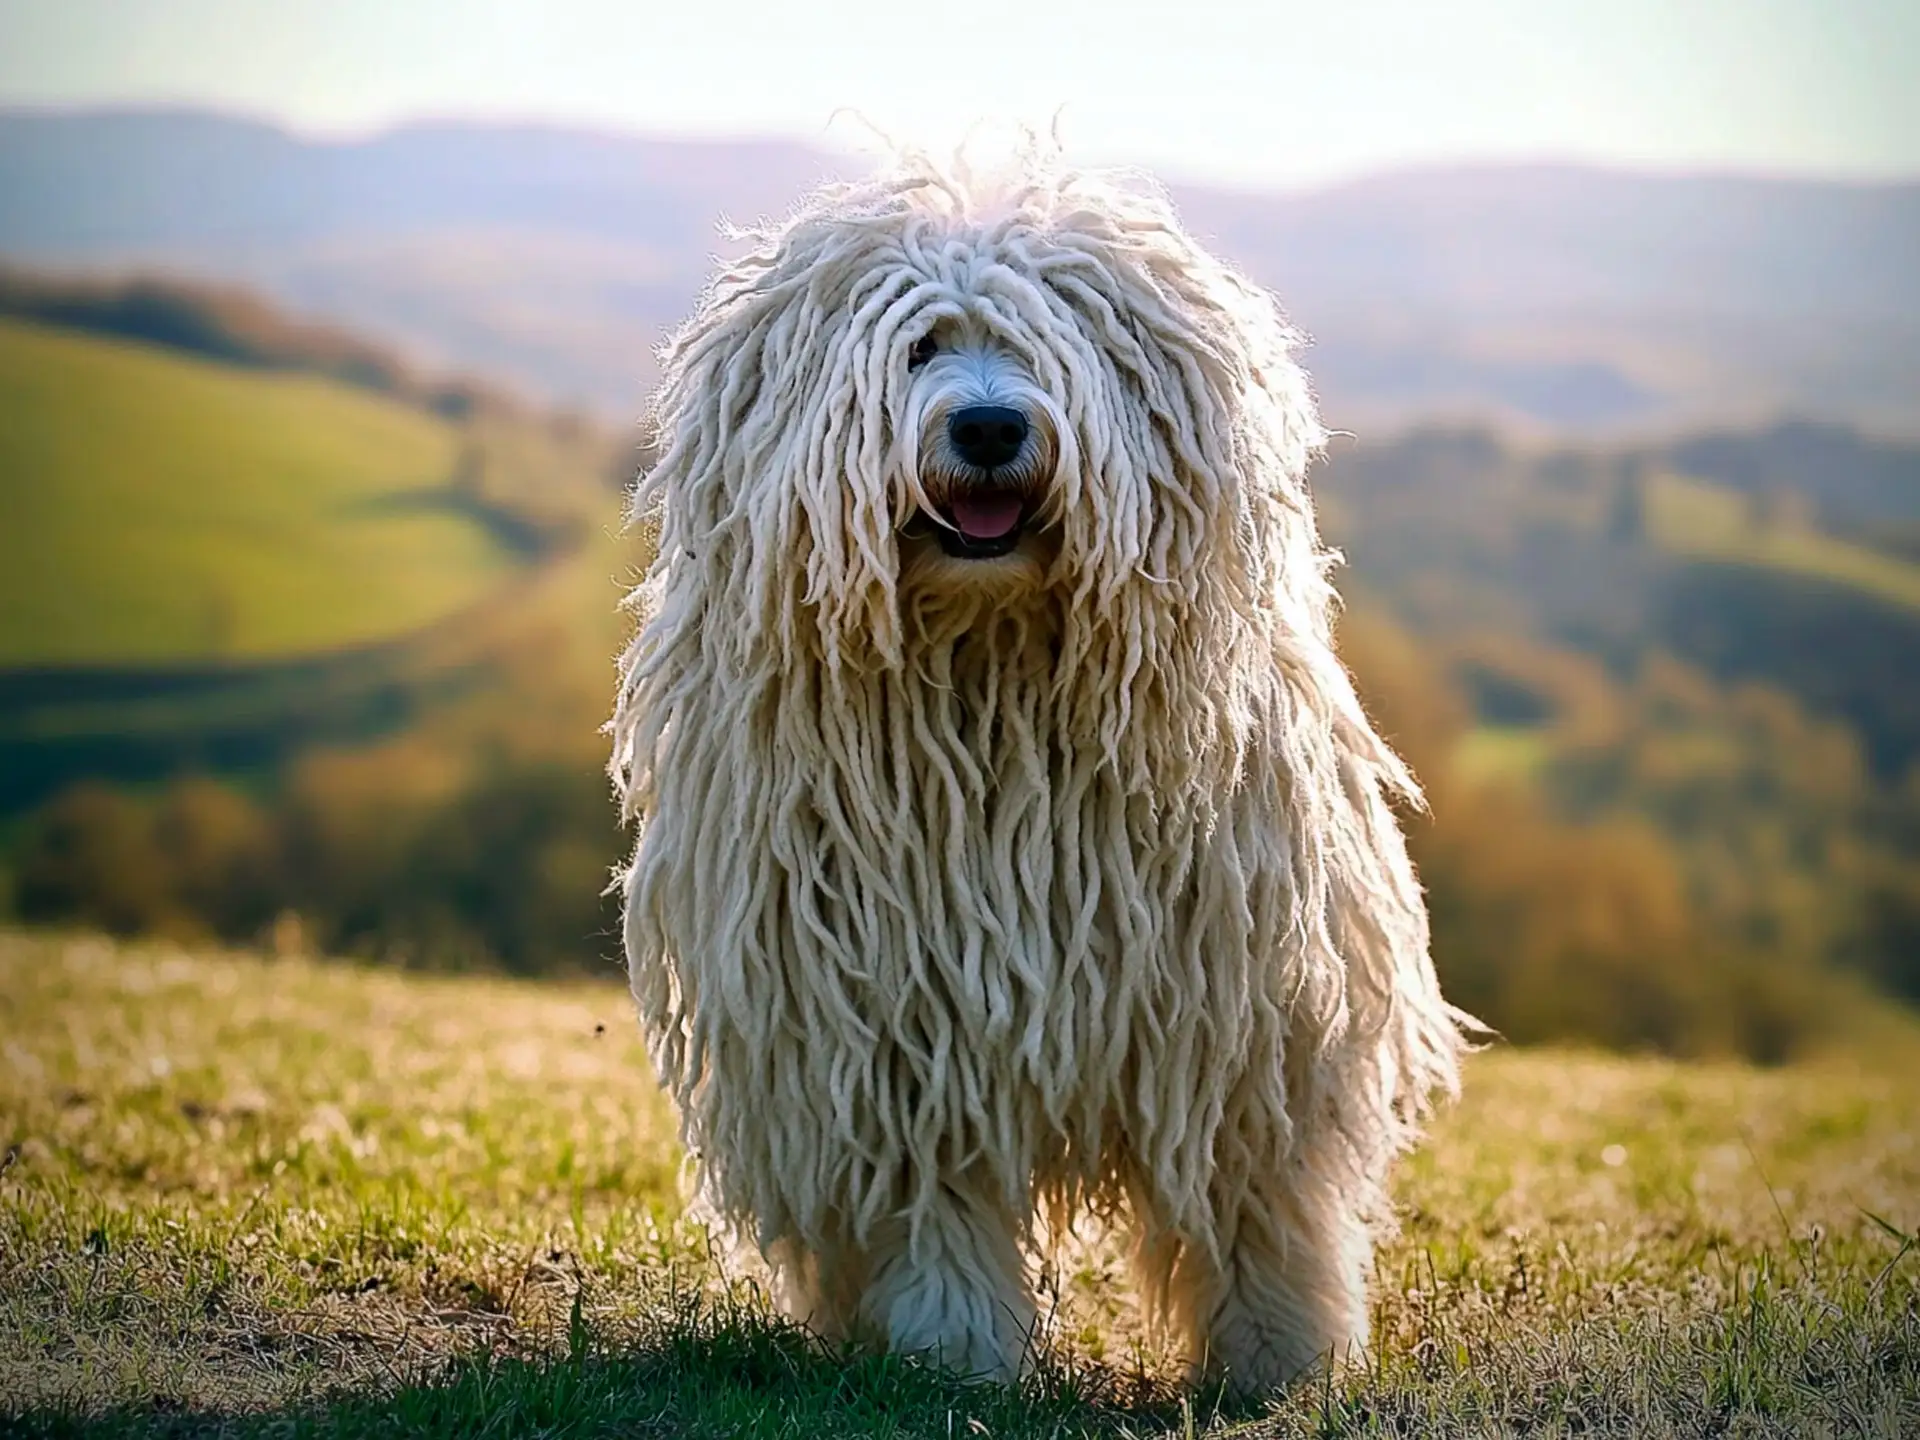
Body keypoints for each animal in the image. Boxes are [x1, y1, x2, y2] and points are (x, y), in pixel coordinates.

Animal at [606, 152, 1459, 1390]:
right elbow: (934, 1207)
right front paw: (952, 1354)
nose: (992, 426)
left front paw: (1279, 1356)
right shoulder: (894, 1025)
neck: (994, 676)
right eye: (917, 347)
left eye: (1055, 344)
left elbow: (1257, 1197)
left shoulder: (1242, 1015)